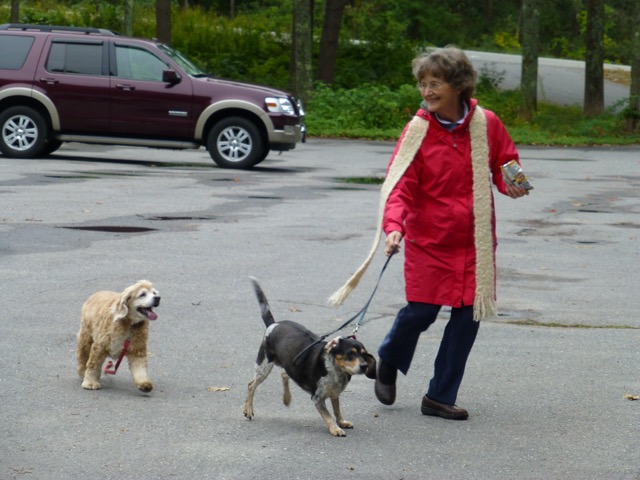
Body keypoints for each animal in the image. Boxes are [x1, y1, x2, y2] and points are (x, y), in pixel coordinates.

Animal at [243, 278, 376, 436]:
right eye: (351, 354)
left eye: (364, 354)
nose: (364, 366)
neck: (335, 369)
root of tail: (273, 324)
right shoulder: (317, 398)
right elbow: (328, 415)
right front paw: (335, 429)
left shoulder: (334, 394)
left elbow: (337, 410)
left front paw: (341, 422)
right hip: (264, 366)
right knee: (251, 385)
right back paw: (248, 409)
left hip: (288, 364)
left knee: (284, 374)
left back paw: (286, 398)